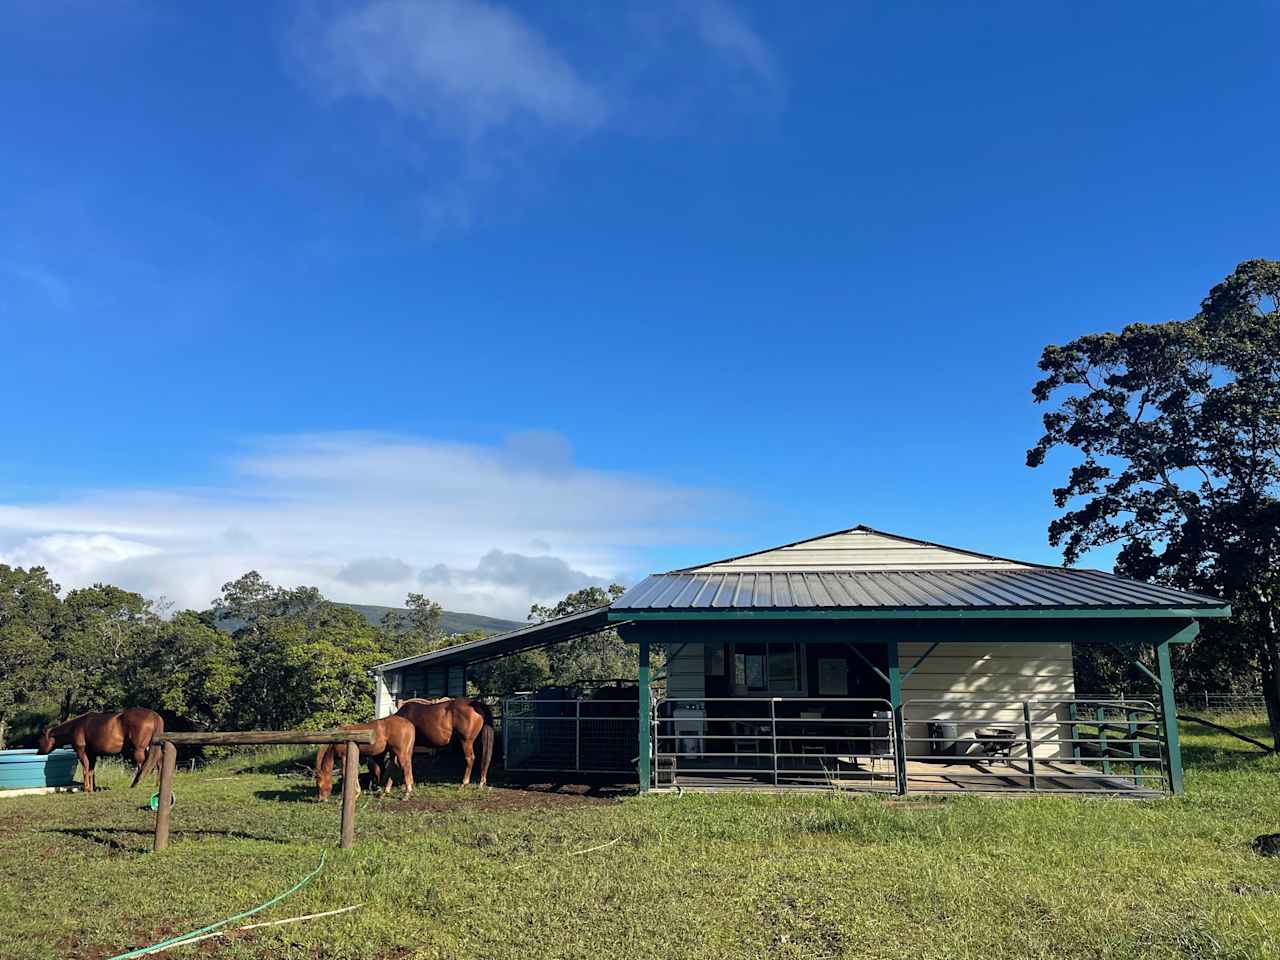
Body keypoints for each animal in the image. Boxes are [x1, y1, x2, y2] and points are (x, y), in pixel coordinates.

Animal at [36, 706, 166, 798]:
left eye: (40, 739)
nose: (38, 752)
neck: (75, 726)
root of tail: (155, 716)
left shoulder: (82, 752)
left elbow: (85, 770)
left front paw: (87, 789)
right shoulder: (92, 754)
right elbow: (91, 771)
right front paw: (92, 788)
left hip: (139, 749)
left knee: (142, 766)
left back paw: (136, 784)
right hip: (151, 748)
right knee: (157, 764)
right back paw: (156, 784)